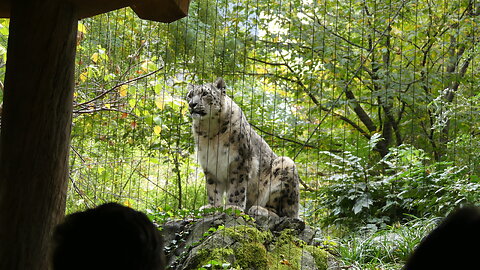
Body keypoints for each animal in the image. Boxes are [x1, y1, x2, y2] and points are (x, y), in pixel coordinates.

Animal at [186, 77, 298, 217]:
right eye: (190, 95)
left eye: (205, 93)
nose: (192, 104)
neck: (210, 130)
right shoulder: (209, 163)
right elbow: (212, 188)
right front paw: (212, 207)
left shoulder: (240, 161)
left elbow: (237, 187)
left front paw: (232, 207)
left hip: (285, 166)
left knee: (281, 211)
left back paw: (260, 209)